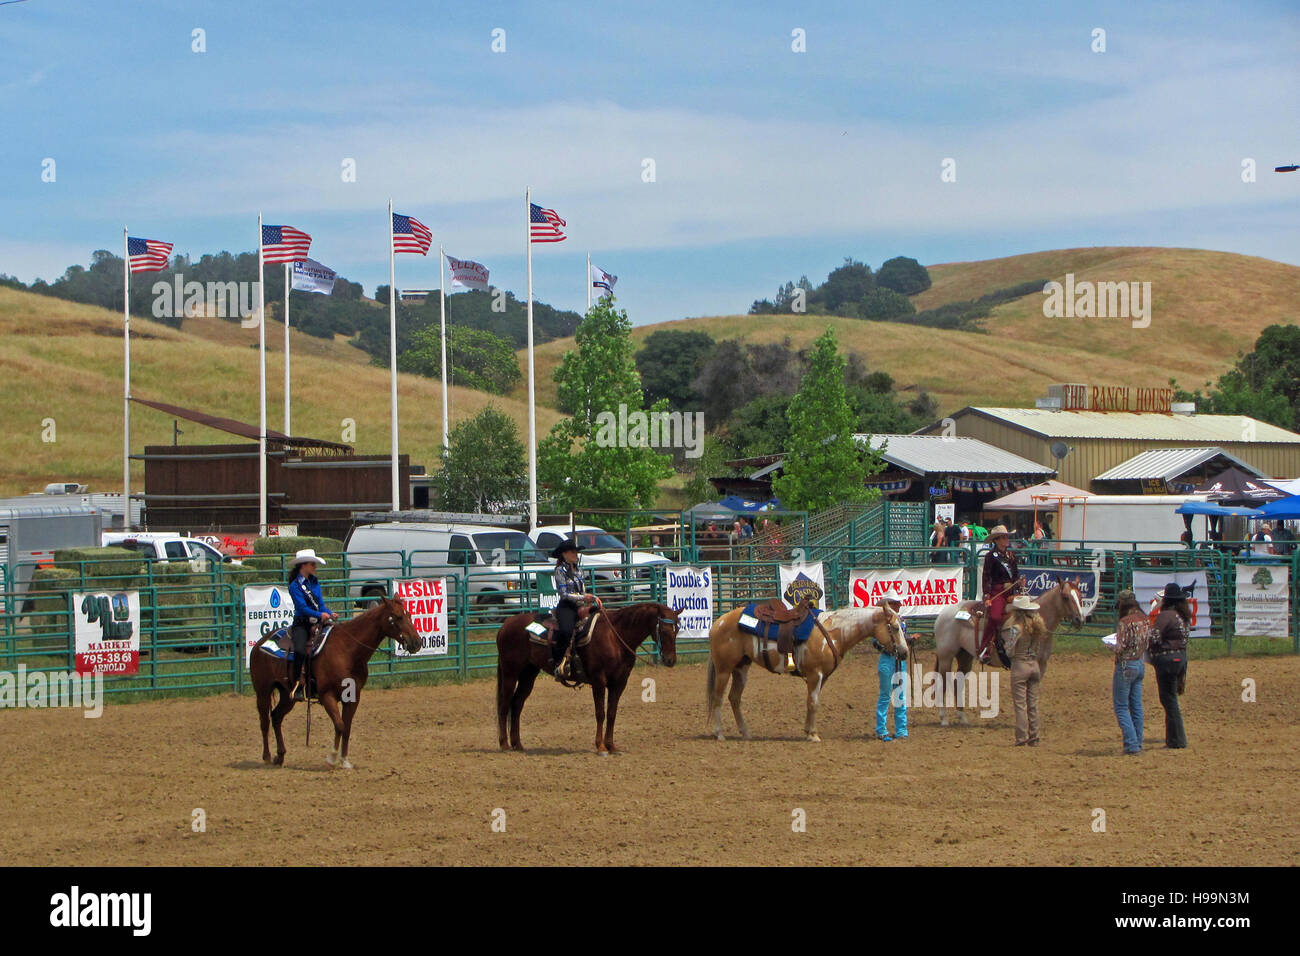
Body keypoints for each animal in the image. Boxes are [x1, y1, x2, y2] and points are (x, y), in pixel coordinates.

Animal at [249, 598, 421, 770]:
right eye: (398, 617)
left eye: (409, 614)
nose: (417, 642)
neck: (347, 650)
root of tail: (259, 644)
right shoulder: (327, 696)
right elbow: (339, 725)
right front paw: (332, 758)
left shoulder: (352, 697)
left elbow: (347, 728)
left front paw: (344, 760)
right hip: (263, 691)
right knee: (264, 721)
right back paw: (267, 756)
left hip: (288, 695)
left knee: (276, 717)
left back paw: (280, 756)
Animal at [493, 606, 681, 754]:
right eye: (664, 630)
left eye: (677, 629)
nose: (670, 660)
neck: (615, 636)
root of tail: (506, 625)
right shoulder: (599, 680)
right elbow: (600, 713)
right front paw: (600, 747)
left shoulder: (619, 682)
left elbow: (612, 713)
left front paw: (611, 746)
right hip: (510, 673)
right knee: (504, 705)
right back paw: (504, 745)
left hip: (529, 673)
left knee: (517, 705)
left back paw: (518, 744)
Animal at [707, 600, 909, 743]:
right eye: (895, 628)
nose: (904, 653)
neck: (832, 632)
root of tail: (719, 622)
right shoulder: (815, 674)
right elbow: (813, 703)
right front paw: (813, 735)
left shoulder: (822, 677)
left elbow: (812, 702)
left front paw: (807, 731)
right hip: (724, 669)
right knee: (717, 698)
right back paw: (719, 733)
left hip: (741, 669)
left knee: (734, 698)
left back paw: (746, 732)